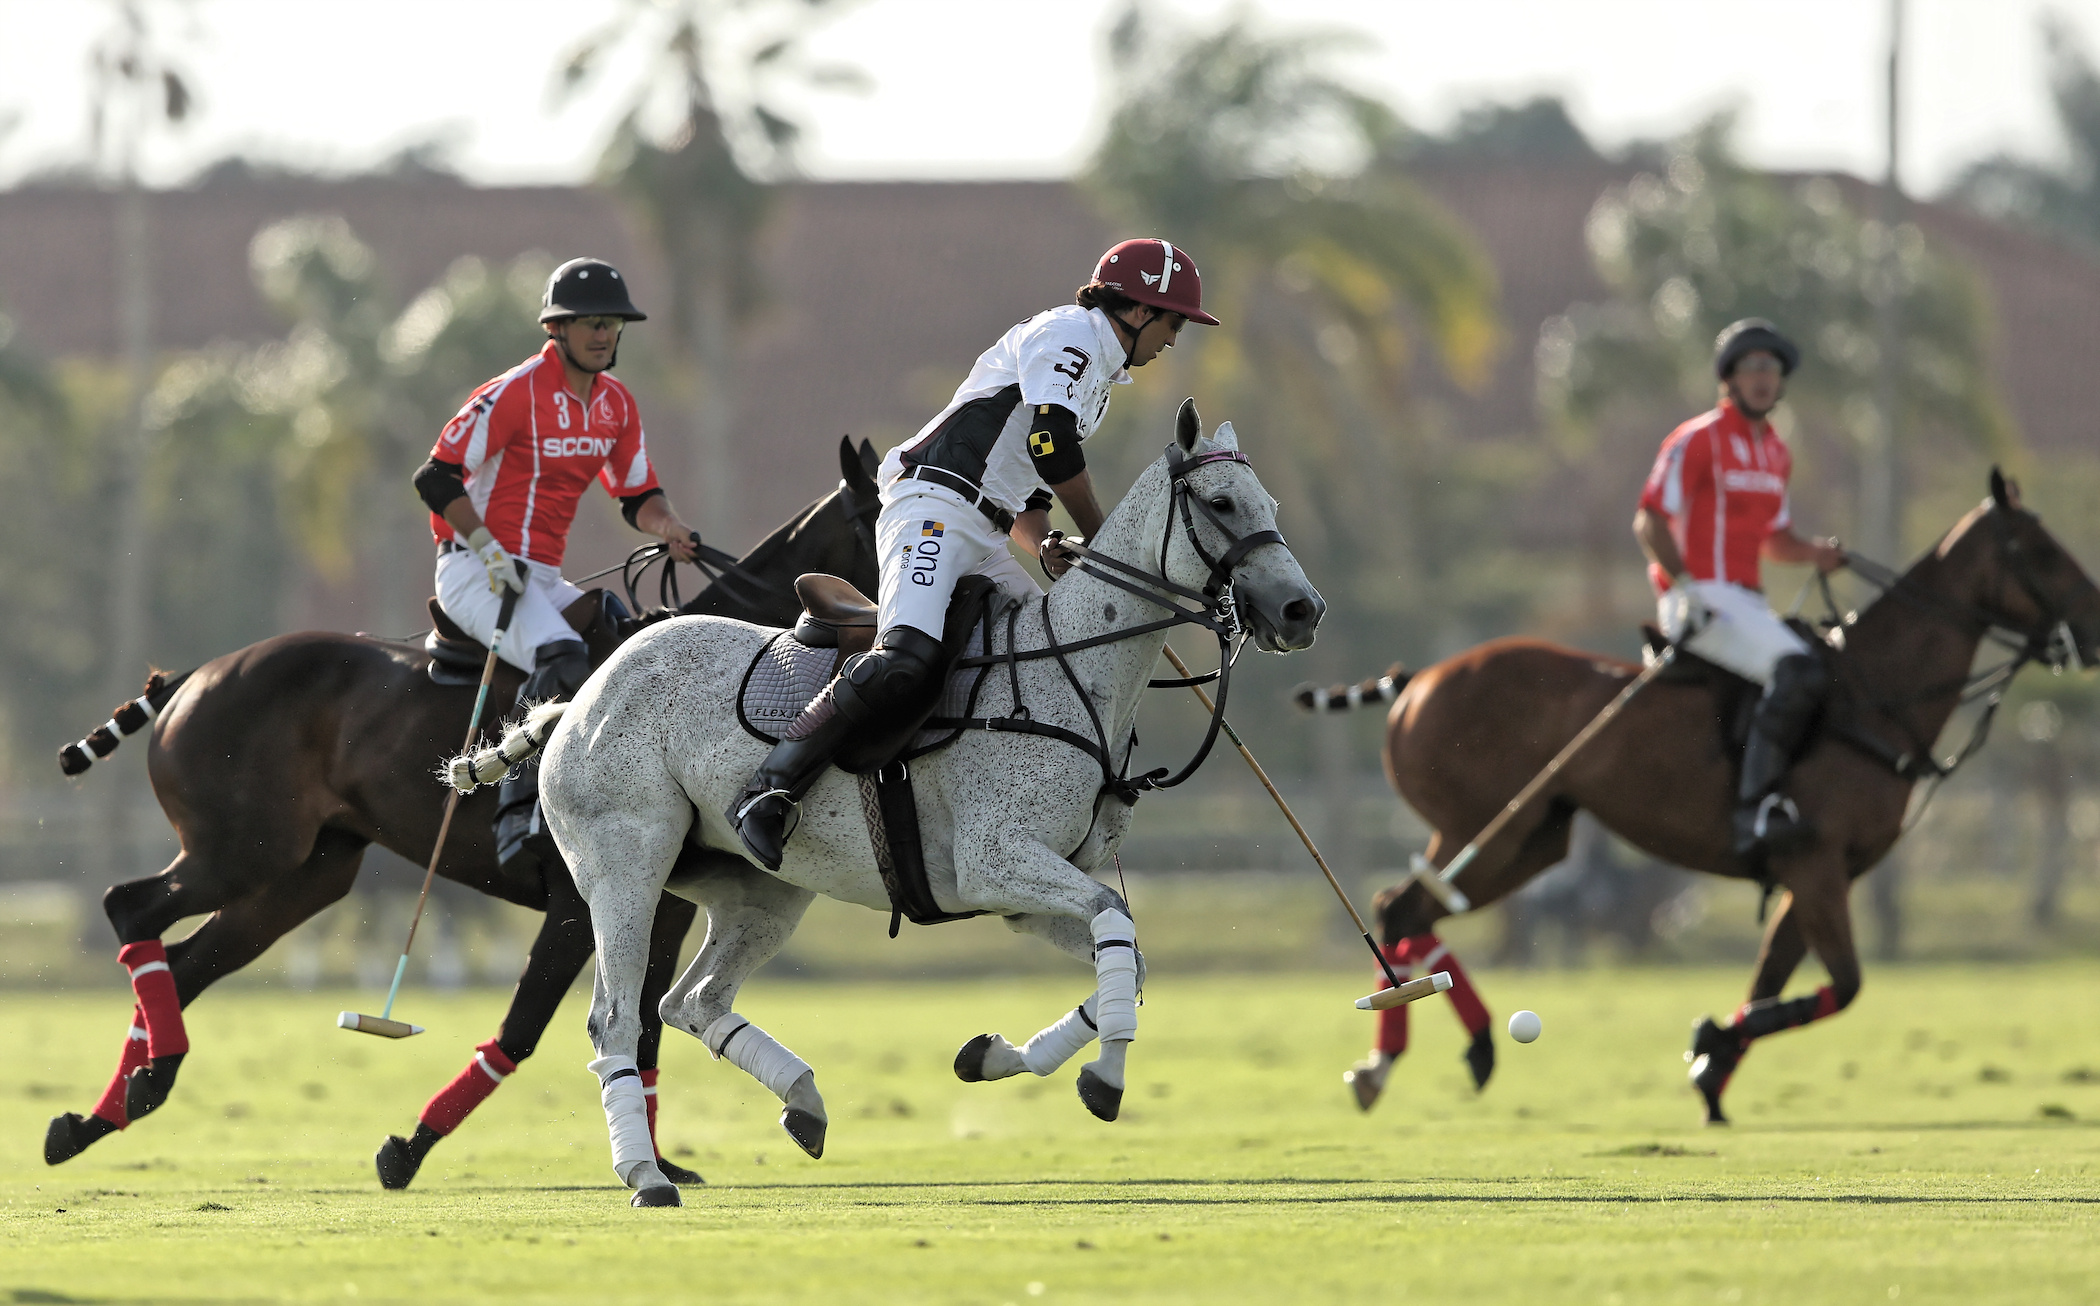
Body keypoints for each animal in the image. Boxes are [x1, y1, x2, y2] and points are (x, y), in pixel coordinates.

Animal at [43, 440, 877, 1184]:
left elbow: (643, 1033)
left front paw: (659, 1158)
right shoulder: (576, 903)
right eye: (877, 522)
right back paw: (140, 1083)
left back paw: (104, 1111)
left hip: (305, 876)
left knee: (186, 961)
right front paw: (407, 1150)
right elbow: (529, 1030)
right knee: (132, 907)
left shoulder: (661, 909)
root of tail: (194, 676)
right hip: (244, 850)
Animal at [482, 398, 1318, 1209]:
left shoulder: (1024, 896)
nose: (1303, 611)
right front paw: (1105, 1081)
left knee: (692, 1001)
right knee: (616, 1018)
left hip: (760, 891)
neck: (1075, 670)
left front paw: (994, 1057)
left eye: (1271, 503)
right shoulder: (995, 861)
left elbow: (1128, 958)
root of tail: (582, 695)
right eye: (1221, 502)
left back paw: (803, 1102)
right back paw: (647, 1176)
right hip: (625, 870)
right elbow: (1118, 926)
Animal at [1302, 476, 2091, 1133]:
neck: (1873, 697)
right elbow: (1844, 986)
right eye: (2042, 550)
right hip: (1486, 825)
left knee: (1412, 910)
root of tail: (1417, 680)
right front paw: (1710, 1044)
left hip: (1535, 838)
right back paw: (1397, 1059)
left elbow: (1775, 980)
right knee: (1401, 907)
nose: (2094, 633)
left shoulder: (1817, 872)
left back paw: (1462, 1046)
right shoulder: (1814, 861)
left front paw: (1712, 1073)